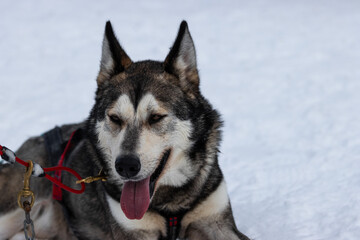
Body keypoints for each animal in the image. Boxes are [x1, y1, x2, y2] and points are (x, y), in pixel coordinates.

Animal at [0, 21, 250, 239]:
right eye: (115, 118)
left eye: (156, 117)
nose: (126, 166)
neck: (170, 201)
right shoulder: (133, 231)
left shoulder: (216, 222)